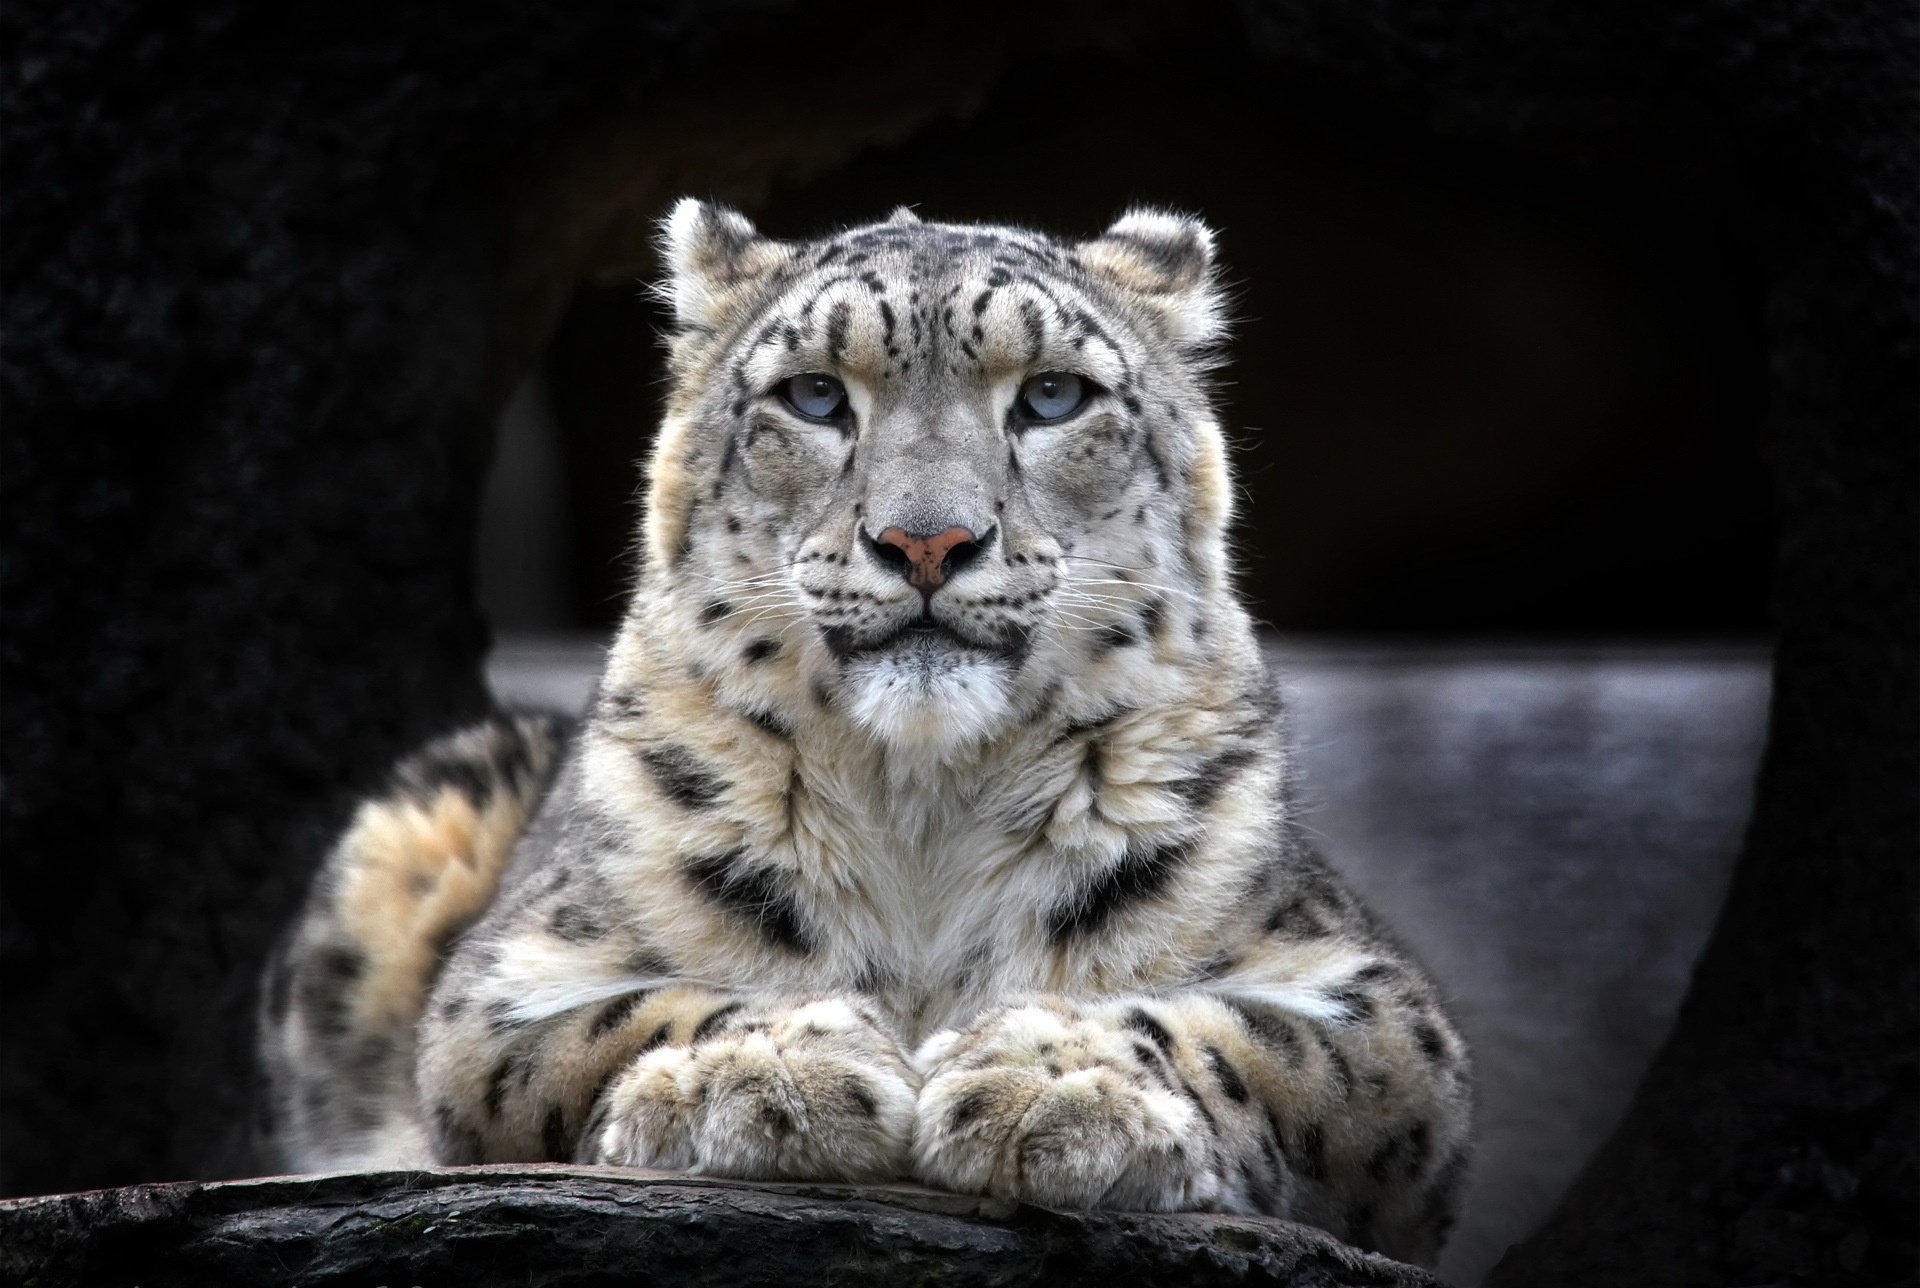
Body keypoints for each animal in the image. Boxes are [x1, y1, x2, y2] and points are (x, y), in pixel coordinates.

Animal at [258, 200, 1473, 1267]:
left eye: (1052, 396)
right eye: (812, 395)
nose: (926, 541)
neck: (924, 810)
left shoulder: (1374, 1001)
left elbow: (1250, 1038)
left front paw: (1053, 1079)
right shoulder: (509, 980)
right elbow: (624, 1017)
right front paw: (768, 1070)